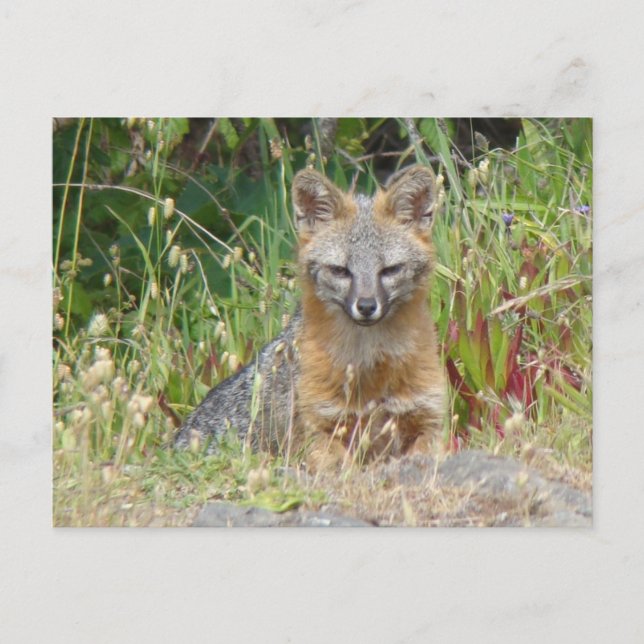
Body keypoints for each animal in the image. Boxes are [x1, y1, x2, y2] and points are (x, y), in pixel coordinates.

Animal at [175, 165, 446, 470]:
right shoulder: (319, 427)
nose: (366, 306)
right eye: (340, 270)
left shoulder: (426, 418)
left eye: (390, 270)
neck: (370, 363)